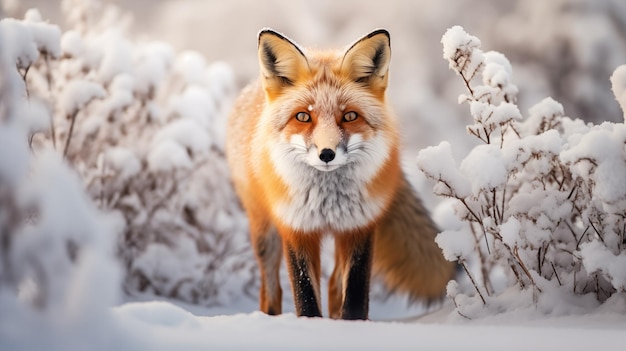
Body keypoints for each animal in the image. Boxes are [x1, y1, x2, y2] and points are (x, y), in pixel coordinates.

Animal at [225, 28, 454, 320]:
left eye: (349, 116)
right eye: (303, 116)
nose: (327, 154)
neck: (327, 199)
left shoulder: (359, 226)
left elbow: (355, 290)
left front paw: (350, 324)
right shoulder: (296, 227)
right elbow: (305, 293)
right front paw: (311, 323)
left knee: (334, 281)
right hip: (265, 233)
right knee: (271, 288)